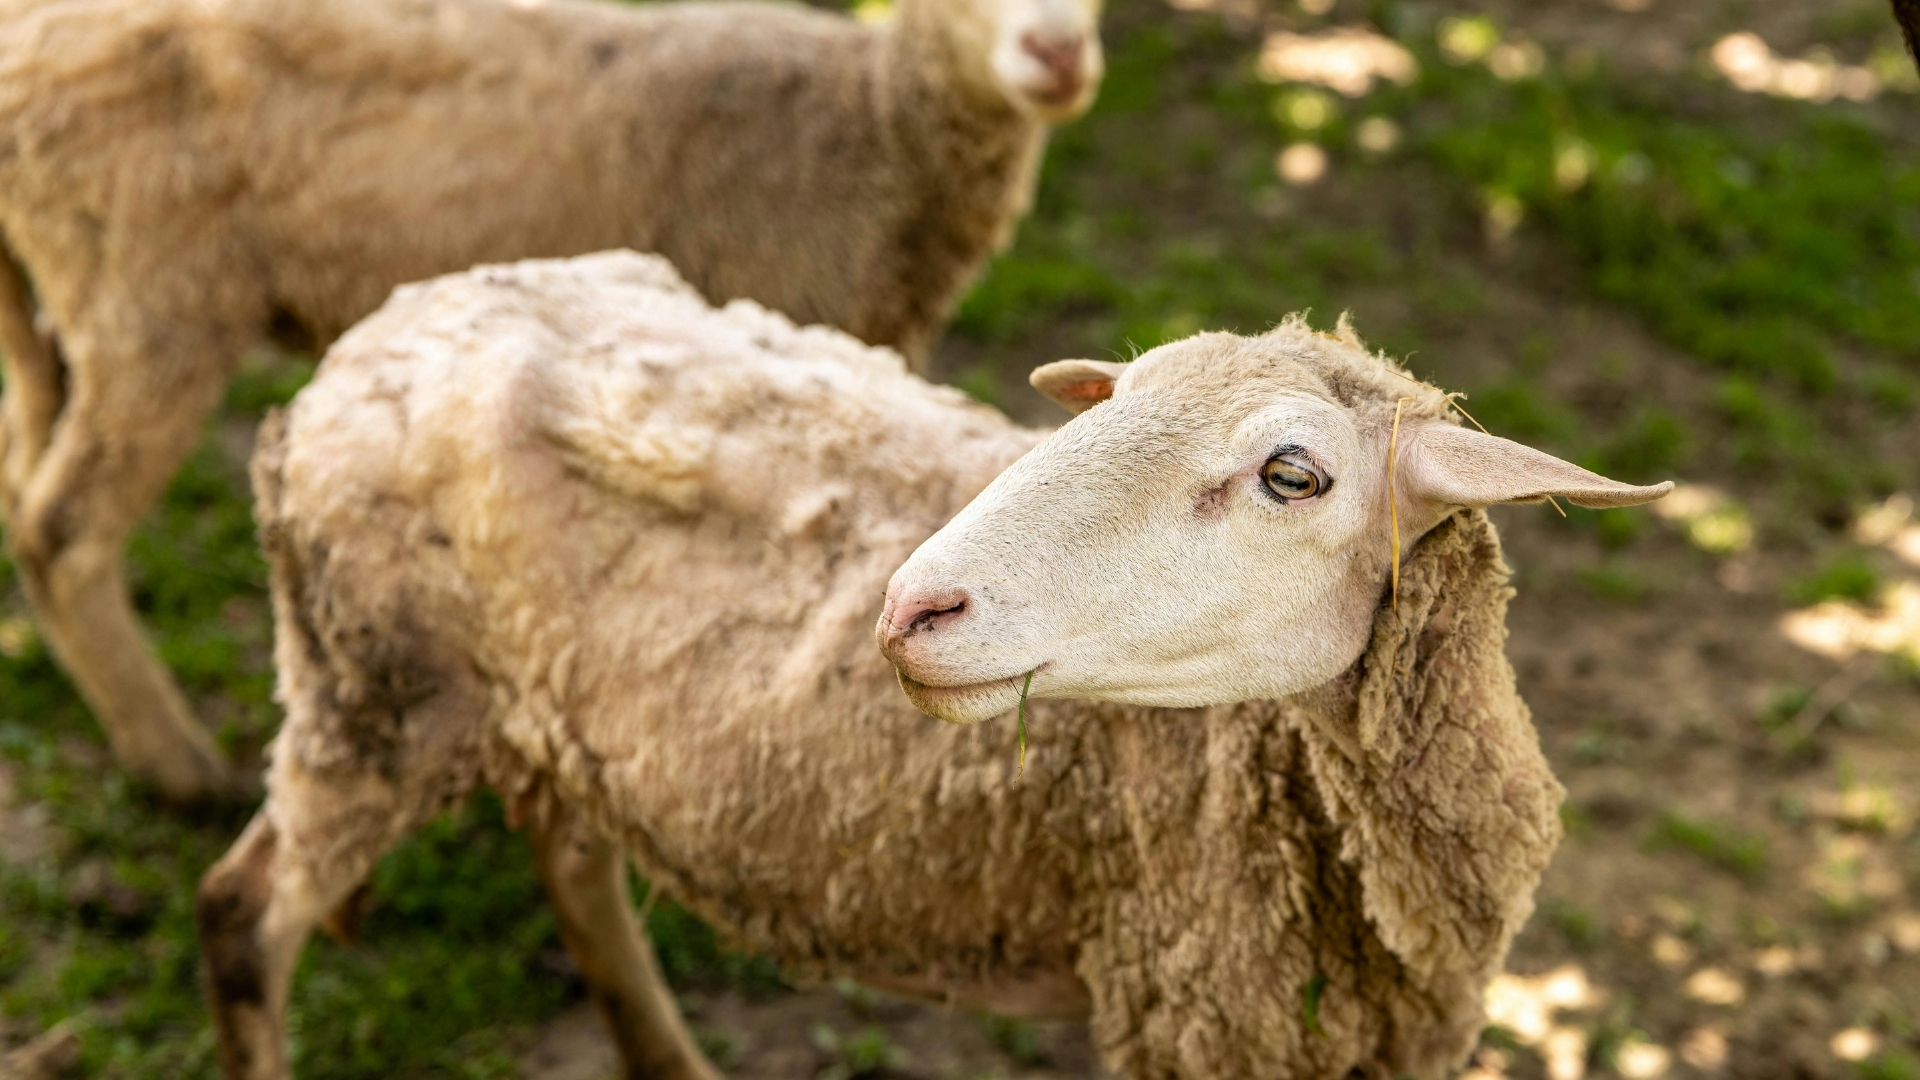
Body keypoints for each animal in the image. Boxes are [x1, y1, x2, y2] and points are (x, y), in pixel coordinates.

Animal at [196, 251, 1671, 1080]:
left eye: (1294, 474)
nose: (911, 607)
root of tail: (387, 326)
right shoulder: (1195, 1015)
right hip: (376, 686)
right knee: (240, 916)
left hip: (527, 703)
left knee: (571, 861)